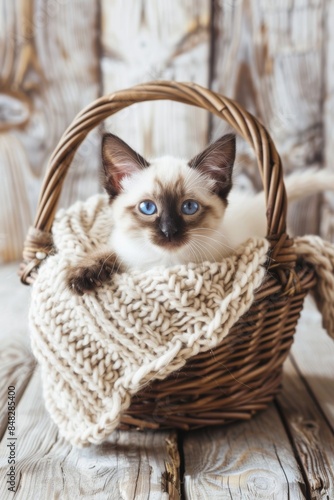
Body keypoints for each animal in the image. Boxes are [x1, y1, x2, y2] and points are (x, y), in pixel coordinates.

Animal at [67, 135, 334, 294]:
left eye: (189, 208)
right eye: (148, 208)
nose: (169, 231)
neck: (165, 264)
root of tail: (257, 202)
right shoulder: (126, 252)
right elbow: (106, 253)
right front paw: (82, 275)